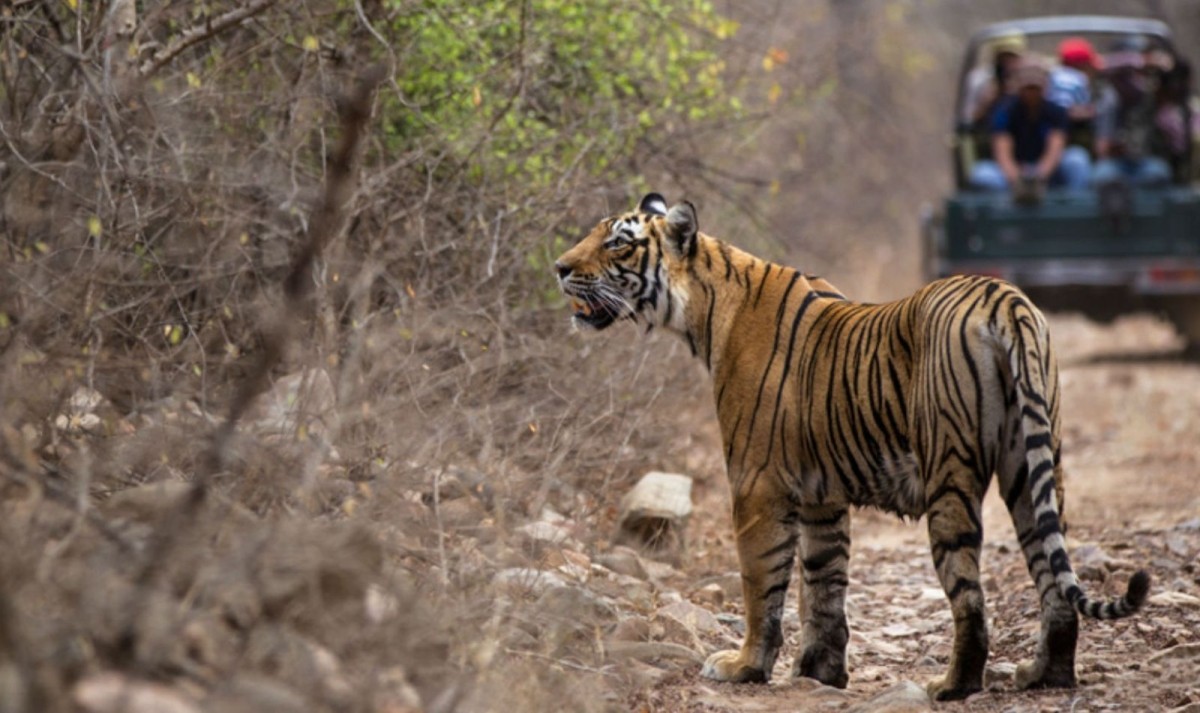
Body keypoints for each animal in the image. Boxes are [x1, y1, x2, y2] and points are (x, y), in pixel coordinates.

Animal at [555, 193, 1150, 701]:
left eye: (618, 243)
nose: (559, 267)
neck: (702, 310)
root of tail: (1004, 299)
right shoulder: (821, 495)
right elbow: (824, 584)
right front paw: (820, 672)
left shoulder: (756, 484)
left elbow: (762, 583)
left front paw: (745, 667)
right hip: (1030, 468)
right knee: (1052, 578)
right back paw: (1044, 675)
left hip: (950, 477)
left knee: (970, 597)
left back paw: (953, 685)